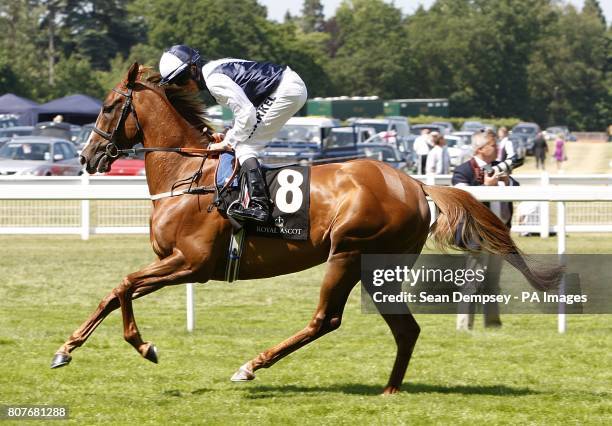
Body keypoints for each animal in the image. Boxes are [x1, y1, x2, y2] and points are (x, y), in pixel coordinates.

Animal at [55, 61, 560, 394]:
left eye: (107, 106)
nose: (87, 157)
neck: (187, 174)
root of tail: (415, 184)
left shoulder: (191, 264)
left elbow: (124, 285)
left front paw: (144, 346)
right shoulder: (173, 264)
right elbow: (114, 291)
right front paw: (66, 349)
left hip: (348, 253)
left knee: (326, 319)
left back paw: (251, 366)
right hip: (378, 269)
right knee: (406, 329)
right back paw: (390, 390)